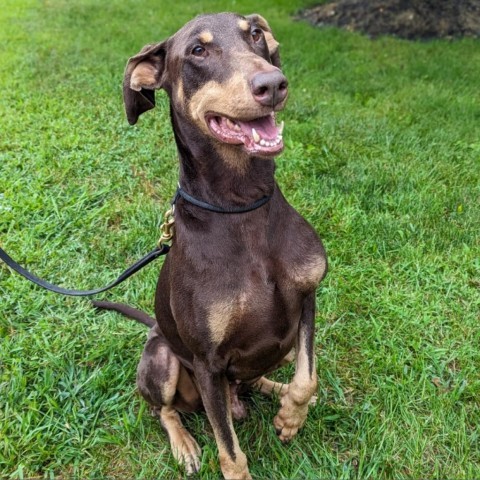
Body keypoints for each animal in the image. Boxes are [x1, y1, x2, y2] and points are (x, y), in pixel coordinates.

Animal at [95, 12, 326, 480]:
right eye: (198, 51)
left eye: (254, 34)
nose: (273, 83)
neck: (240, 206)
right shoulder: (207, 362)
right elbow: (230, 452)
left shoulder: (307, 298)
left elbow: (307, 377)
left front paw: (292, 416)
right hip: (163, 358)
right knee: (164, 410)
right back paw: (184, 445)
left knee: (258, 378)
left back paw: (275, 390)